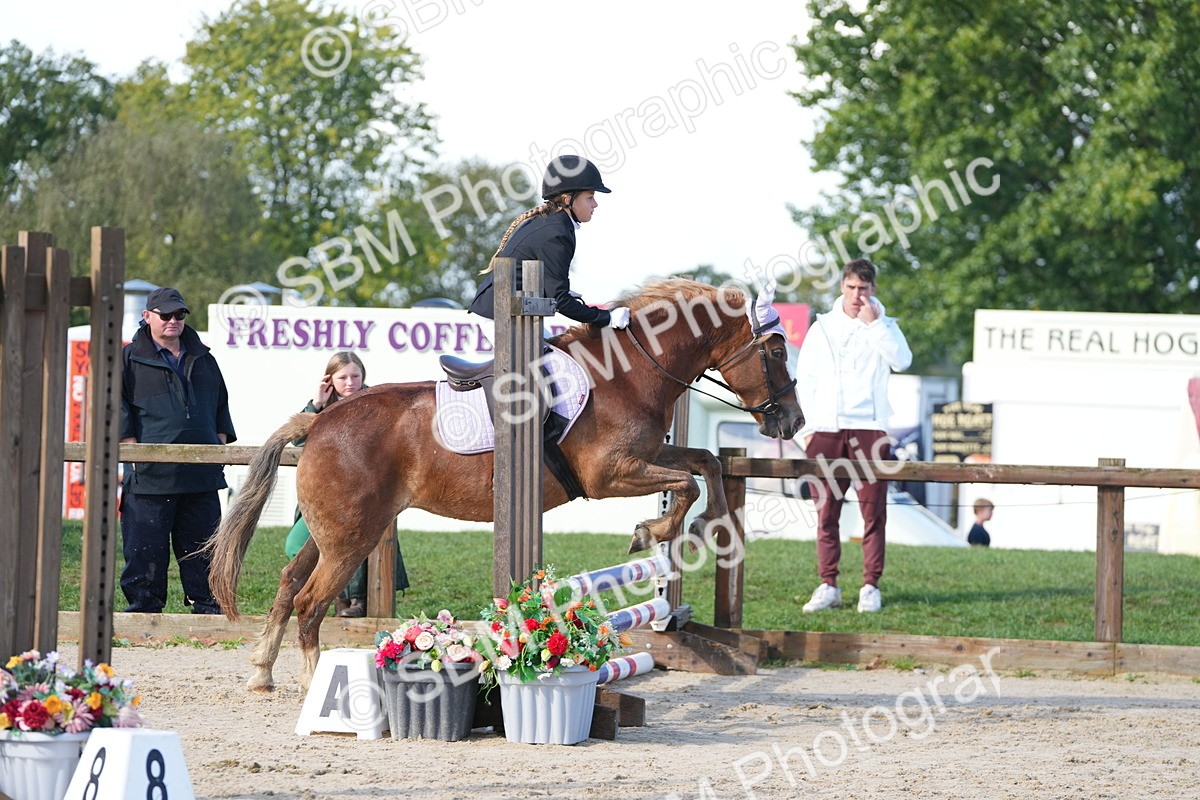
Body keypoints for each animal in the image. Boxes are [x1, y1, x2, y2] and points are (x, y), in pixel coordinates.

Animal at [206, 278, 804, 692]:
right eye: (776, 352)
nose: (793, 423)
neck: (632, 370)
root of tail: (319, 421)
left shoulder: (648, 454)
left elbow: (705, 462)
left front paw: (705, 529)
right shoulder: (611, 473)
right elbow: (685, 482)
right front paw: (651, 531)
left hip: (334, 531)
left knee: (288, 584)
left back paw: (261, 672)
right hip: (352, 538)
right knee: (310, 602)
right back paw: (314, 685)